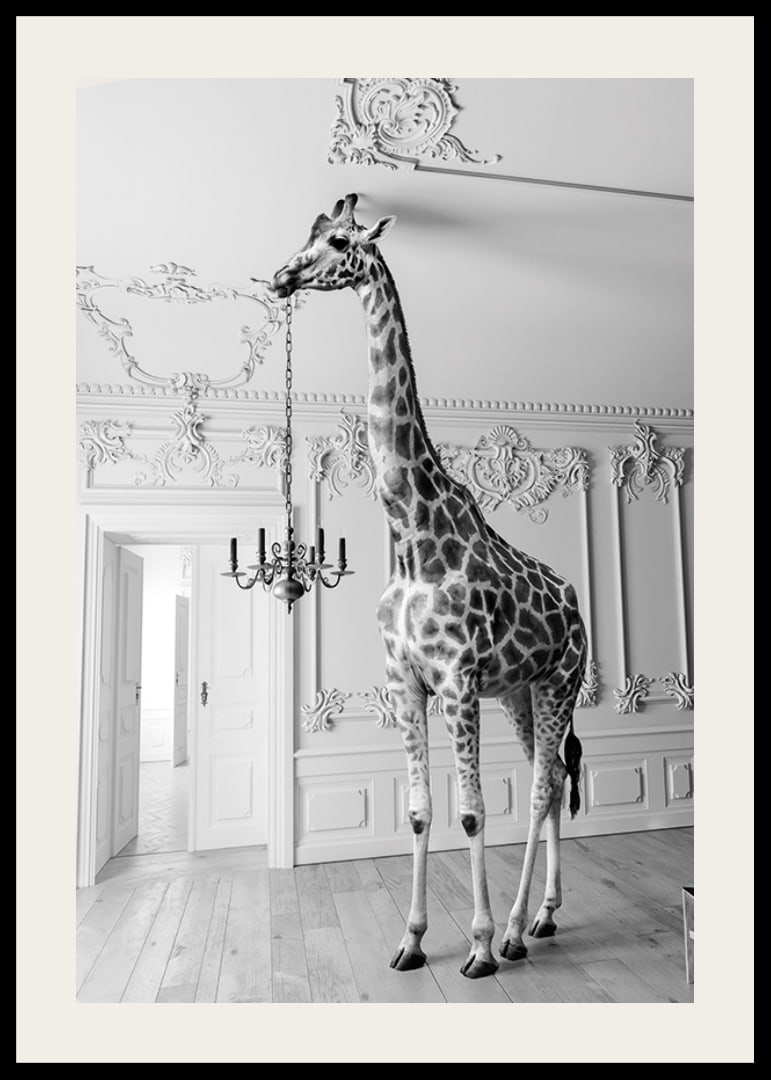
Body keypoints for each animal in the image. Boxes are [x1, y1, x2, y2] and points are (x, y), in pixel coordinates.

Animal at [271, 194, 586, 979]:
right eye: (307, 233)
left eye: (341, 242)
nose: (282, 276)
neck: (412, 538)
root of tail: (578, 606)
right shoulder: (405, 683)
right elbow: (418, 811)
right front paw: (411, 941)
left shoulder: (456, 680)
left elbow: (472, 811)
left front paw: (476, 946)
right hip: (520, 692)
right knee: (548, 784)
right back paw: (542, 917)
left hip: (560, 681)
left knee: (541, 789)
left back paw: (512, 932)